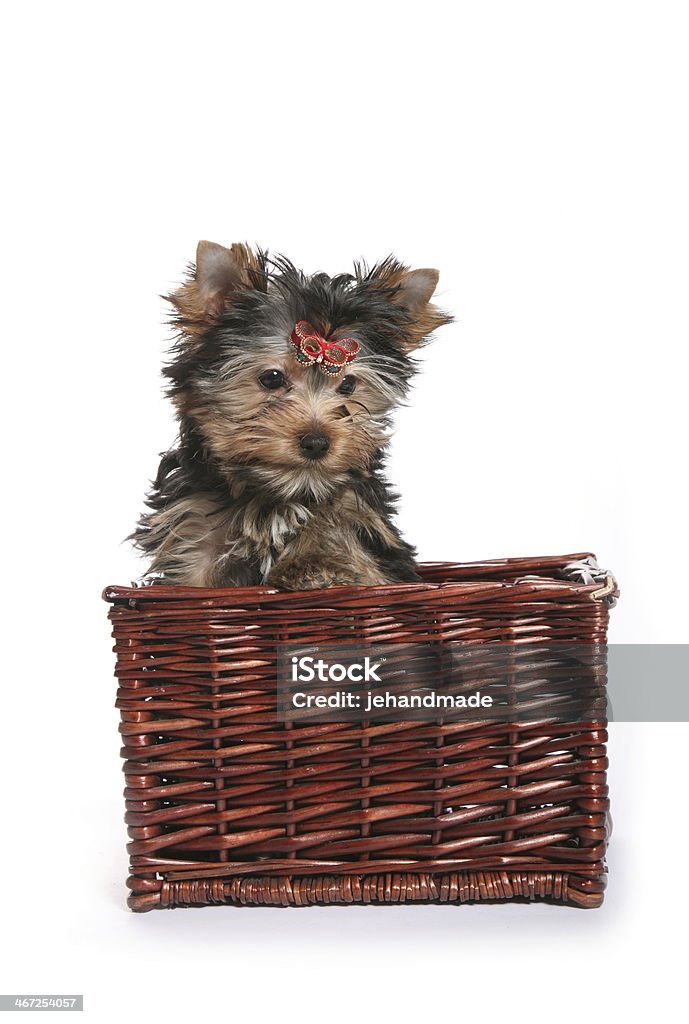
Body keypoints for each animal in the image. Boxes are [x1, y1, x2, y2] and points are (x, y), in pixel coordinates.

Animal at [134, 240, 450, 589]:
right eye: (272, 378)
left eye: (349, 384)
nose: (316, 443)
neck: (281, 494)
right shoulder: (194, 531)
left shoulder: (367, 535)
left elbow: (339, 537)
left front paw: (316, 565)